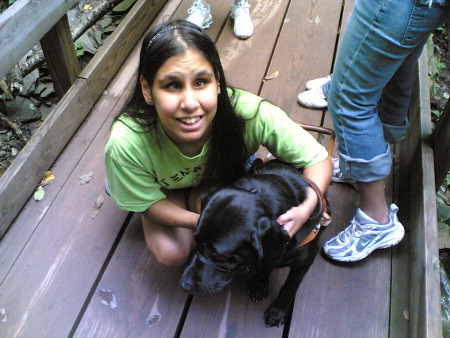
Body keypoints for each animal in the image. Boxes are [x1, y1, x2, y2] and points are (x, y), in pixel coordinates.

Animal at [179, 160, 330, 328]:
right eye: (196, 240)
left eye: (220, 256)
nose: (184, 285)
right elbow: (265, 264)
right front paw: (260, 283)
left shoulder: (305, 260)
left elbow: (290, 286)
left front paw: (277, 311)